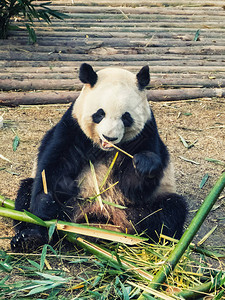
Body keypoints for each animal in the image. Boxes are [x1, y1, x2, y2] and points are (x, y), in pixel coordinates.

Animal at [10, 64, 187, 252]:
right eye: (100, 114)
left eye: (126, 117)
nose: (109, 137)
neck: (105, 149)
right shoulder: (72, 128)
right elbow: (53, 170)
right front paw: (45, 204)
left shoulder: (146, 134)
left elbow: (133, 189)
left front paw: (144, 164)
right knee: (26, 195)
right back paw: (30, 238)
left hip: (137, 209)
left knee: (168, 212)